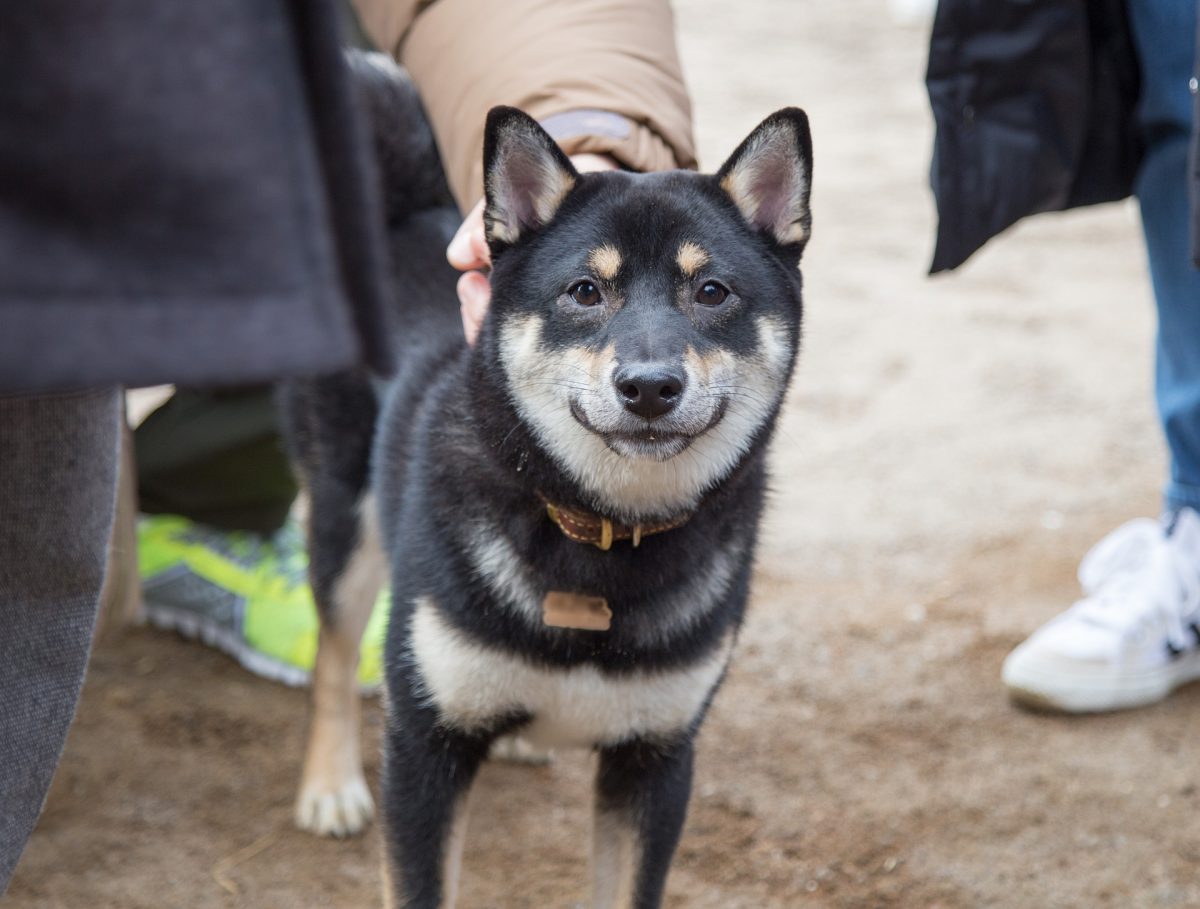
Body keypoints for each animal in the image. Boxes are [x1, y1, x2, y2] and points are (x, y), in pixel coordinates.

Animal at [278, 51, 816, 909]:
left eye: (712, 291)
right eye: (585, 291)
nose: (649, 386)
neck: (601, 535)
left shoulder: (655, 759)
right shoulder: (425, 745)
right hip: (346, 510)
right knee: (333, 647)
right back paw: (329, 785)